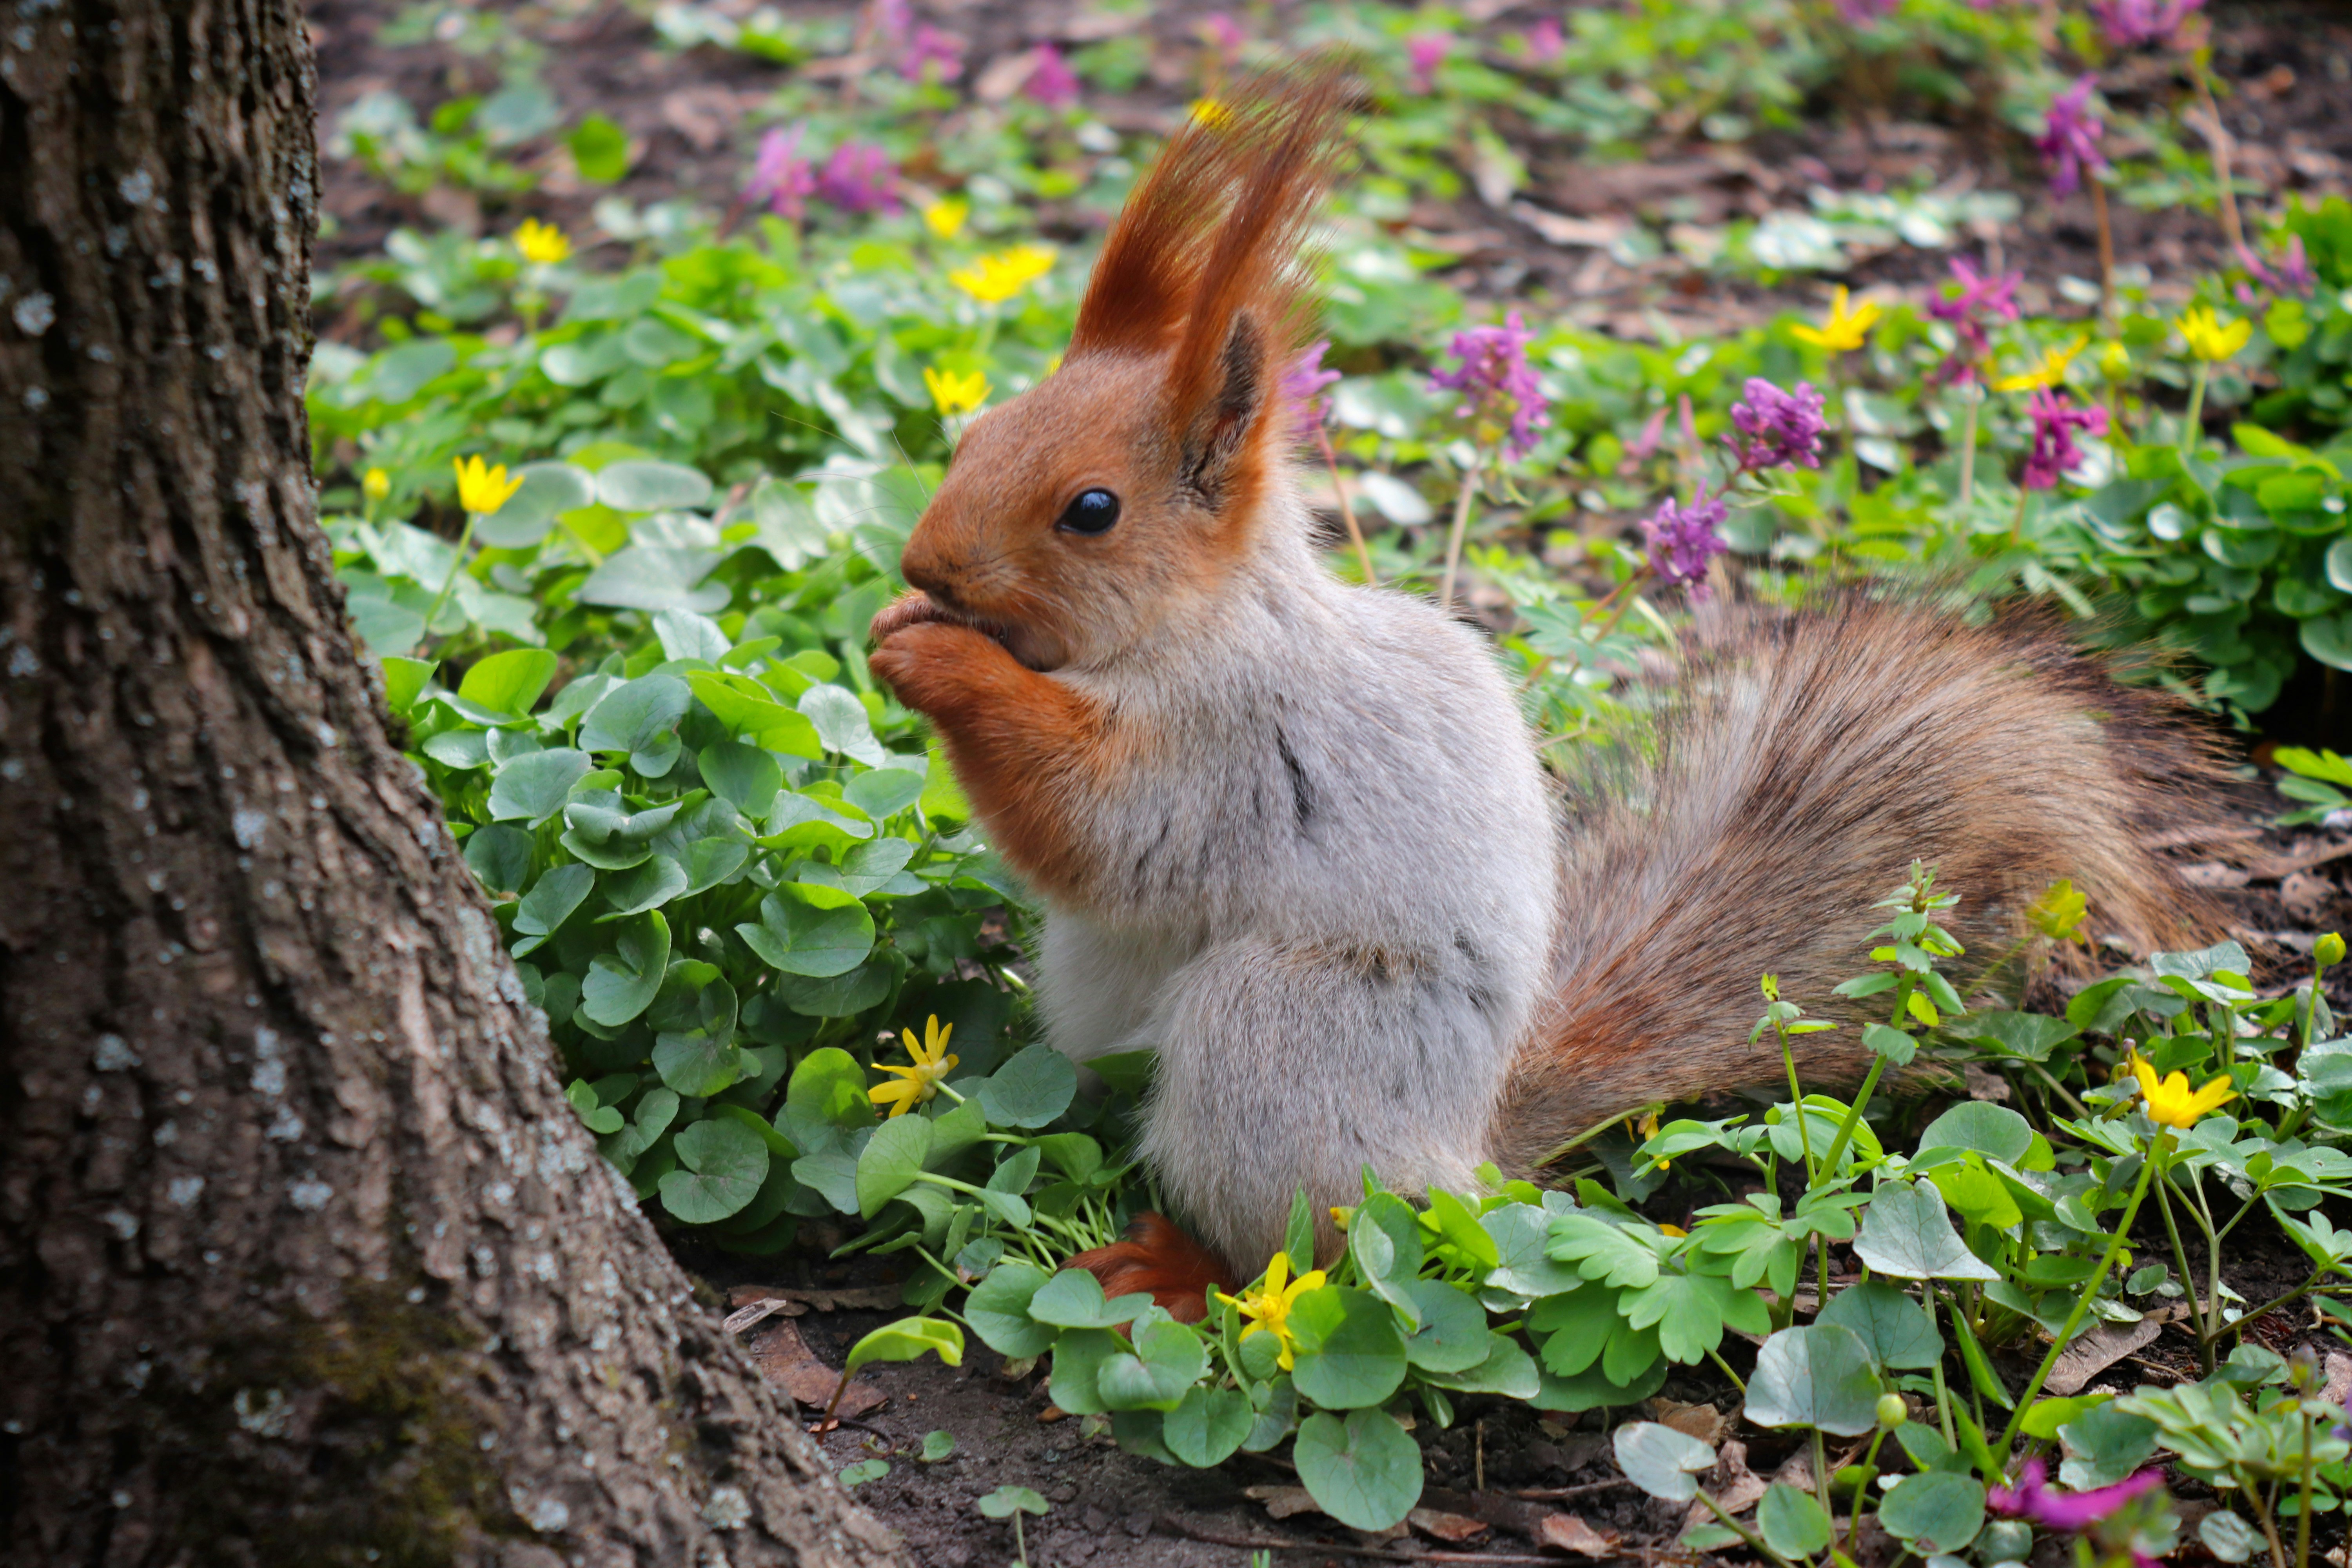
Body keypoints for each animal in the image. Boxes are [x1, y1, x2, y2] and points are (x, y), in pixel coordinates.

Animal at [866, 68, 2224, 1318]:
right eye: (978, 429)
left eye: (1090, 510)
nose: (922, 566)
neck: (1189, 624)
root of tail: (1465, 1155)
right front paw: (896, 627)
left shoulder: (1234, 744)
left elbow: (1100, 822)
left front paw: (935, 659)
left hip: (1281, 1041)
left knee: (1309, 1246)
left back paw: (1179, 1269)